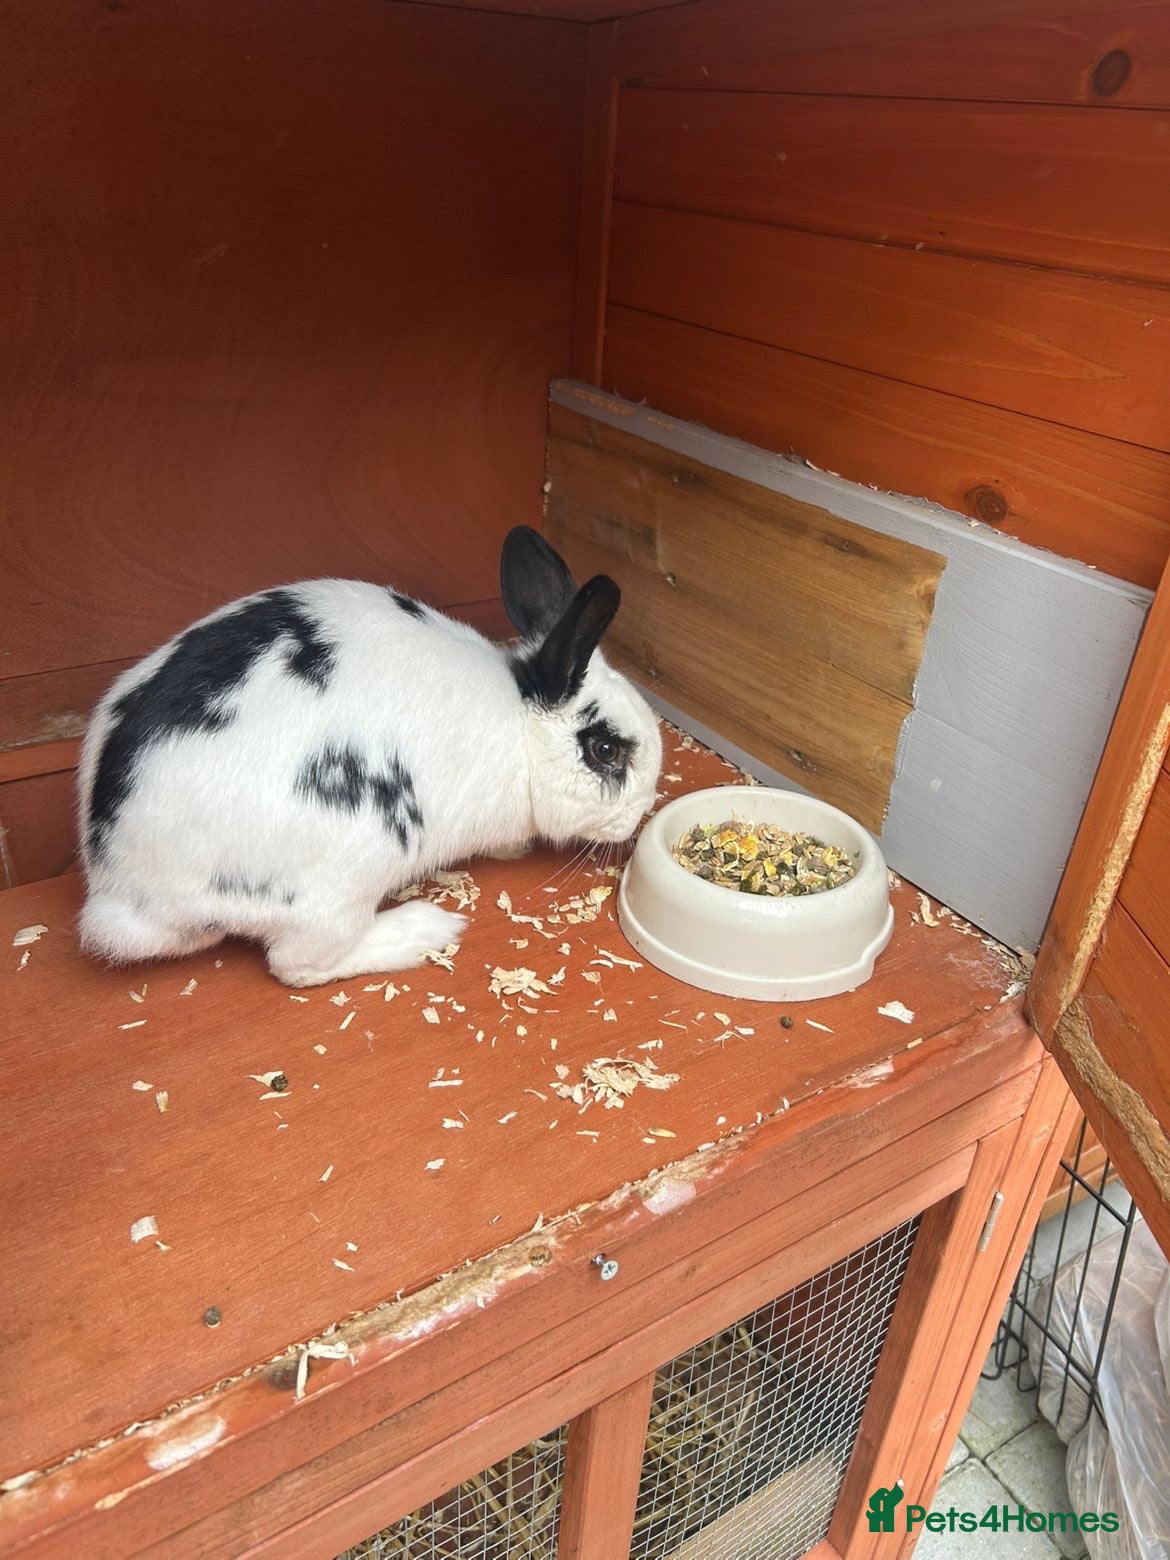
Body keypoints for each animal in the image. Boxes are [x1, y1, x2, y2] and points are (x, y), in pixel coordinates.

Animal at [76, 527, 663, 987]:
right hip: (336, 888)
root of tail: (125, 891)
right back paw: (422, 929)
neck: (520, 724)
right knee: (297, 965)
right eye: (605, 749)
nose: (642, 810)